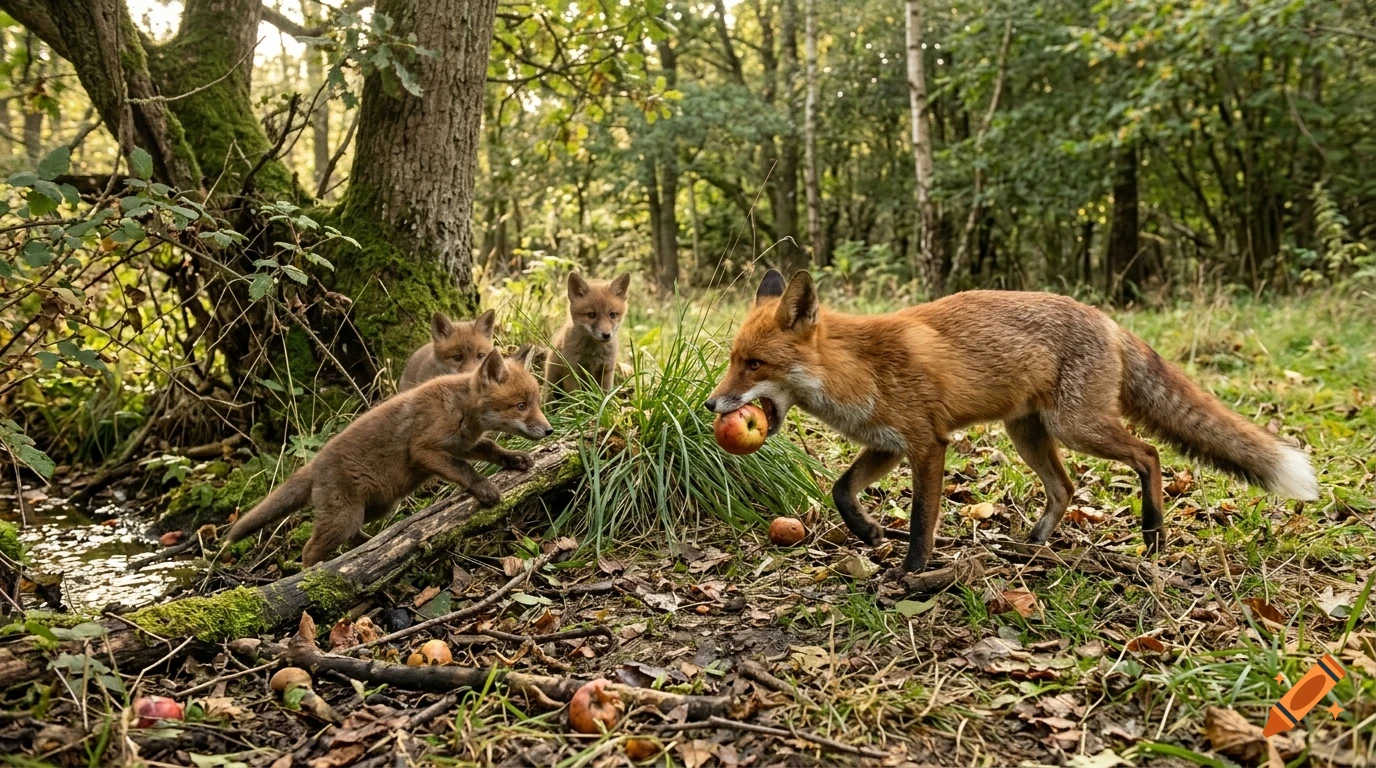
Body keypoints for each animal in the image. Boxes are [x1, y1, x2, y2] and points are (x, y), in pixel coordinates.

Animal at [226, 346, 553, 567]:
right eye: (521, 406)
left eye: (535, 403)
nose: (549, 430)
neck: (459, 409)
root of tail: (314, 464)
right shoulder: (425, 449)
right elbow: (464, 470)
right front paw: (483, 487)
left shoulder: (461, 443)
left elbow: (491, 450)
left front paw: (515, 459)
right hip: (343, 518)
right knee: (310, 551)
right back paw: (313, 580)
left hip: (378, 507)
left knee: (355, 535)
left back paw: (368, 549)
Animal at [706, 269, 1320, 578]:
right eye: (734, 359)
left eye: (753, 364)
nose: (713, 405)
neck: (860, 369)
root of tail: (1107, 319)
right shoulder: (887, 444)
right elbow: (840, 490)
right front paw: (871, 533)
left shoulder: (927, 445)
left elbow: (923, 519)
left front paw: (910, 572)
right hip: (1028, 435)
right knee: (1065, 487)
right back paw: (1034, 545)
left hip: (1077, 427)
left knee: (1148, 455)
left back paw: (1151, 534)